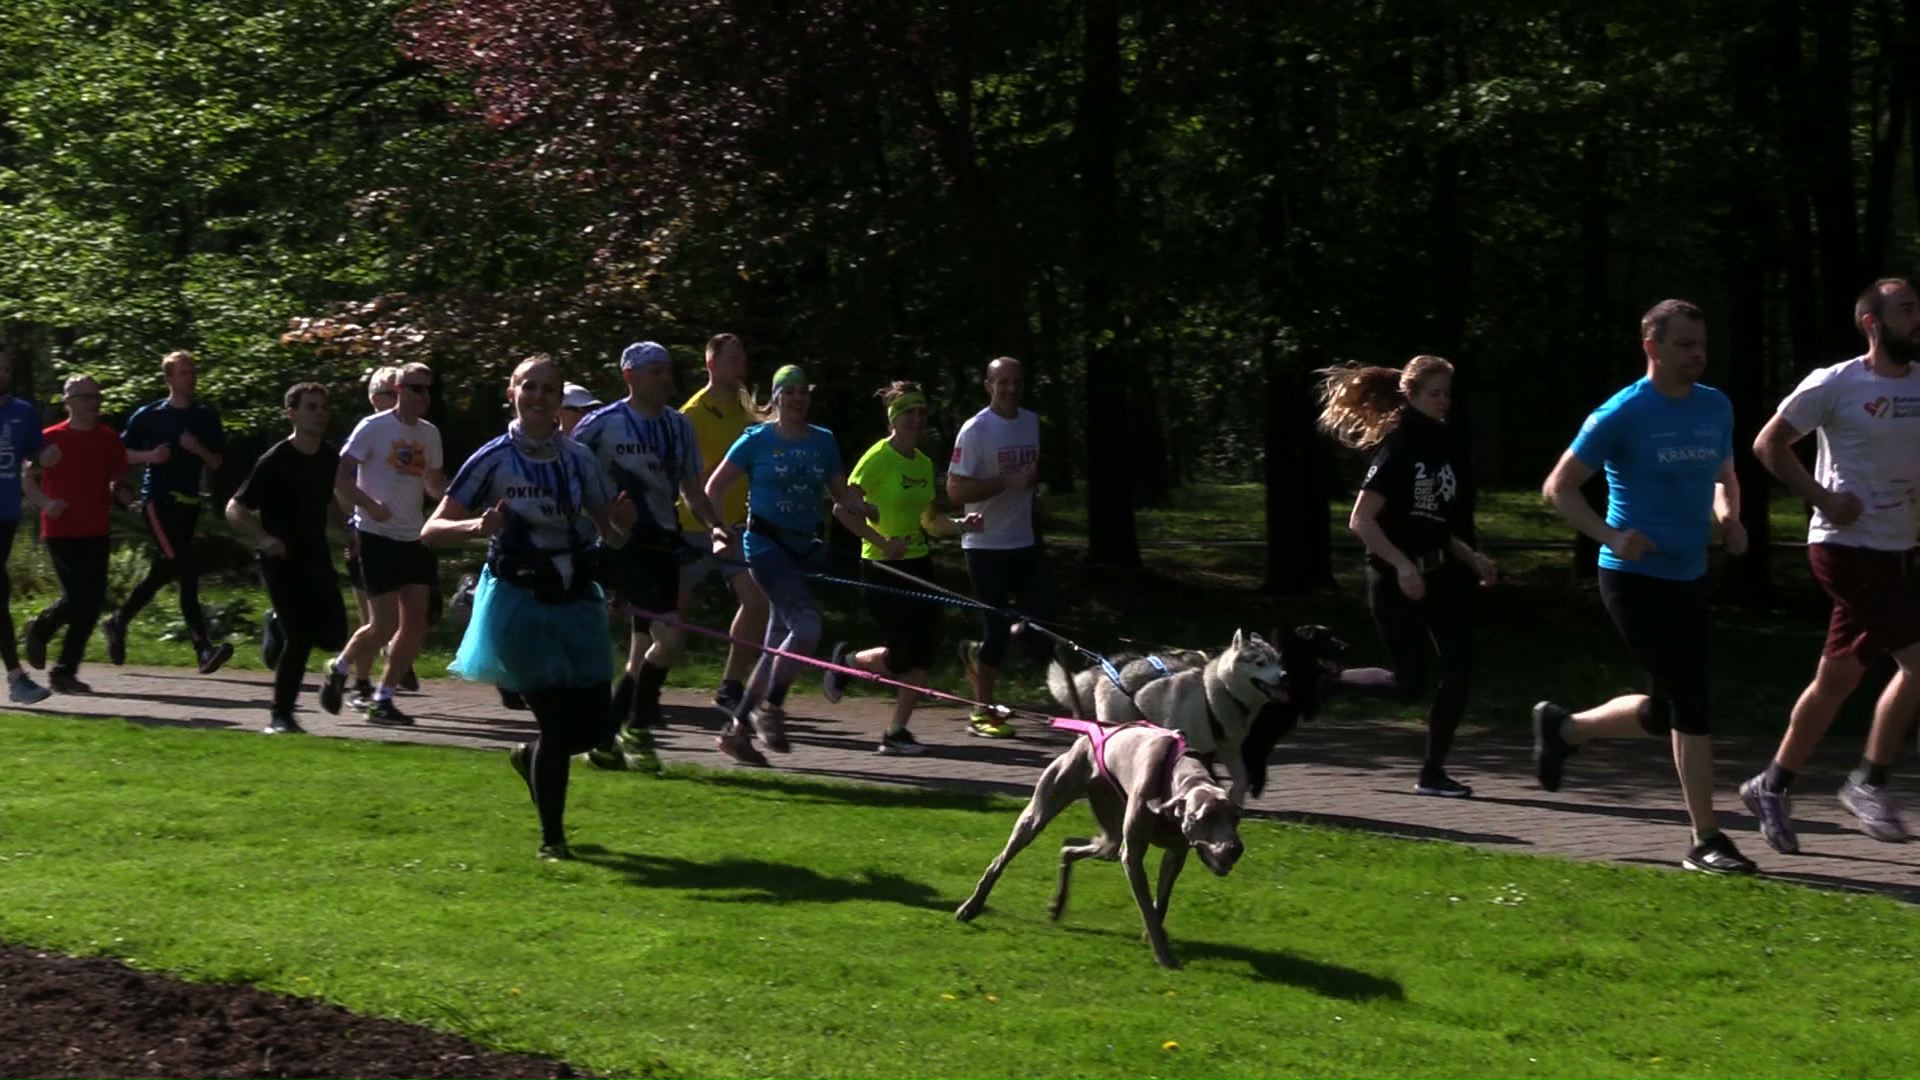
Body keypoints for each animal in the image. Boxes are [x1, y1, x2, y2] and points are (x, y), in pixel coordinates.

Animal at [956, 718, 1244, 960]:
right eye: (1202, 817)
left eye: (1235, 818)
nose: (1235, 849)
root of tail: (1091, 733)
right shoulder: (1132, 855)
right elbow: (1147, 910)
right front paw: (1164, 955)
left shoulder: (1176, 855)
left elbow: (1161, 901)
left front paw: (1154, 938)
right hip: (1040, 813)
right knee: (1001, 860)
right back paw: (971, 906)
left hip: (1110, 835)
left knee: (1069, 847)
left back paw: (1058, 903)